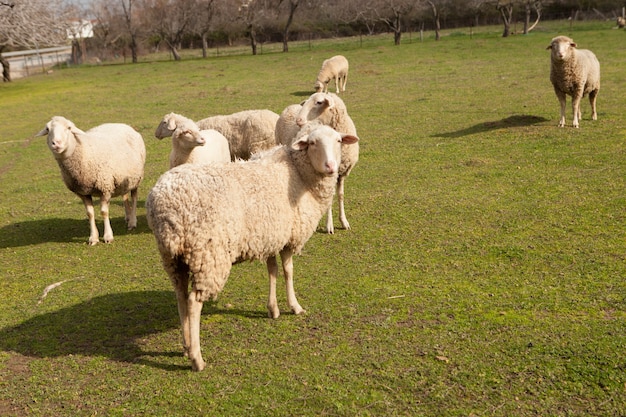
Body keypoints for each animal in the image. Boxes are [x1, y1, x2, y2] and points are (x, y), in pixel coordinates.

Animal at [36, 116, 147, 244]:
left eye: (69, 128)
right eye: (47, 129)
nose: (56, 143)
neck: (84, 153)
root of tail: (123, 125)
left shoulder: (105, 187)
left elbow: (104, 212)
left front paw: (108, 236)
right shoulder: (83, 192)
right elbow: (90, 214)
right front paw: (93, 238)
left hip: (136, 179)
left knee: (134, 198)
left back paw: (132, 222)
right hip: (122, 178)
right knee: (124, 195)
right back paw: (128, 217)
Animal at [144, 123, 356, 370]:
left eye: (338, 141)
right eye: (312, 143)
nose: (331, 167)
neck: (299, 174)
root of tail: (163, 203)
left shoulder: (271, 236)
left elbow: (273, 271)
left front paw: (273, 309)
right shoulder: (289, 237)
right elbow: (288, 271)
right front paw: (294, 306)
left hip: (173, 256)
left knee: (179, 295)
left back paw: (186, 346)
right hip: (208, 255)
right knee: (194, 302)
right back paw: (197, 358)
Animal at [276, 92, 358, 234]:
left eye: (319, 102)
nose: (298, 120)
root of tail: (290, 106)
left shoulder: (341, 174)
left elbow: (341, 195)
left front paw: (344, 221)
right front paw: (329, 225)